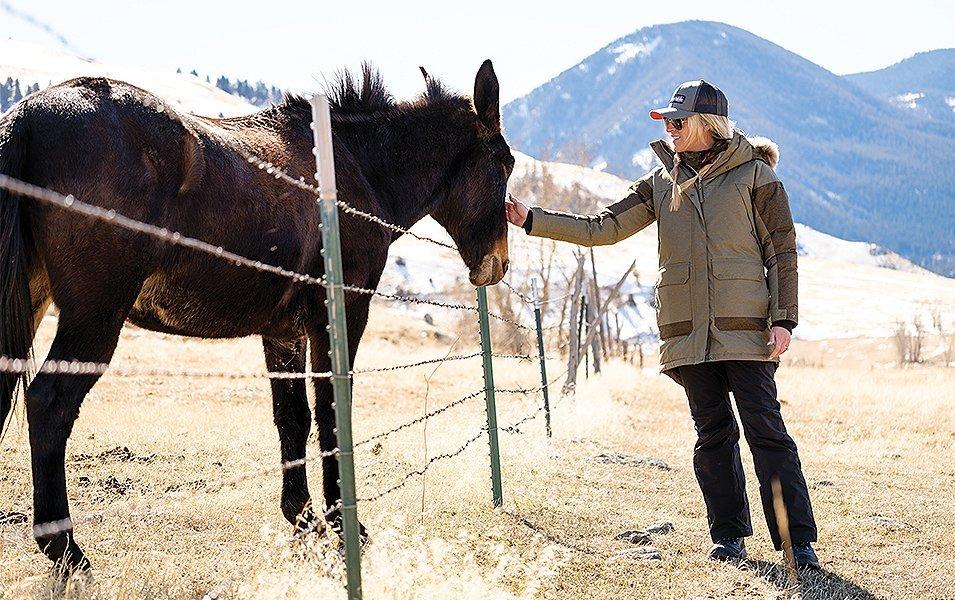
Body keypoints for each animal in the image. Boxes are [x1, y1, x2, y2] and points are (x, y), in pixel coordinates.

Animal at [0, 59, 514, 571]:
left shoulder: (284, 334)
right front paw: (343, 524)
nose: (500, 265)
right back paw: (65, 550)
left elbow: (294, 418)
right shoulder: (341, 315)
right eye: (505, 165)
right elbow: (333, 413)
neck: (353, 167)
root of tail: (28, 115)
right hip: (94, 317)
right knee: (49, 404)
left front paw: (303, 518)